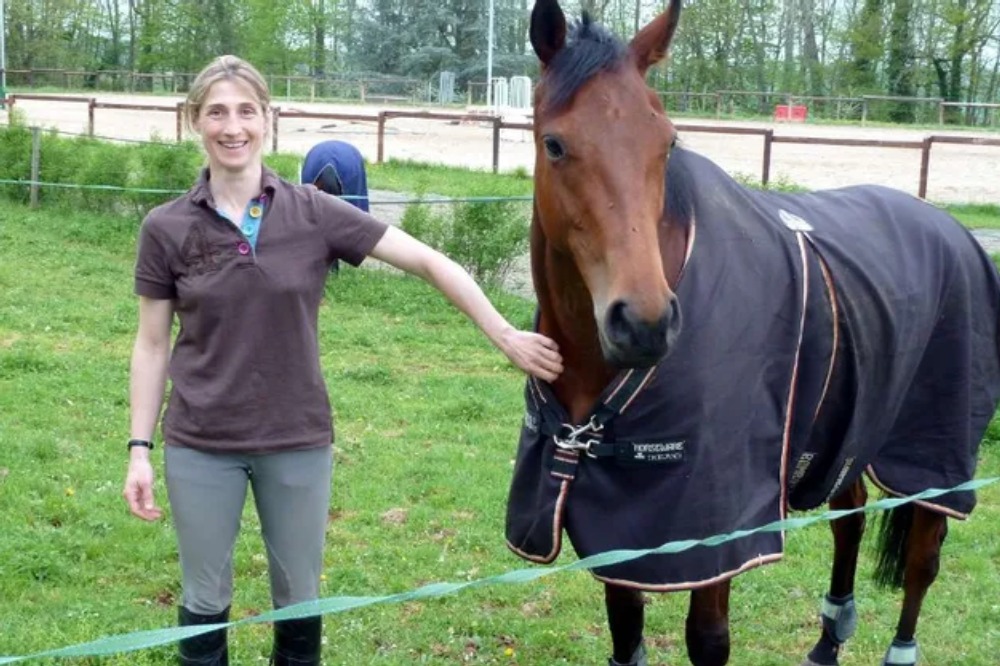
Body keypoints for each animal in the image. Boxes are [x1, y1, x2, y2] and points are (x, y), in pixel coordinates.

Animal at [504, 1, 1000, 665]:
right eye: (554, 144)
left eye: (667, 143)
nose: (645, 322)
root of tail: (949, 226)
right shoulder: (623, 532)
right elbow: (626, 632)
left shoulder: (716, 535)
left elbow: (709, 640)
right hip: (850, 430)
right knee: (851, 518)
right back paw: (827, 642)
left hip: (936, 455)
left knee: (923, 553)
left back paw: (900, 647)